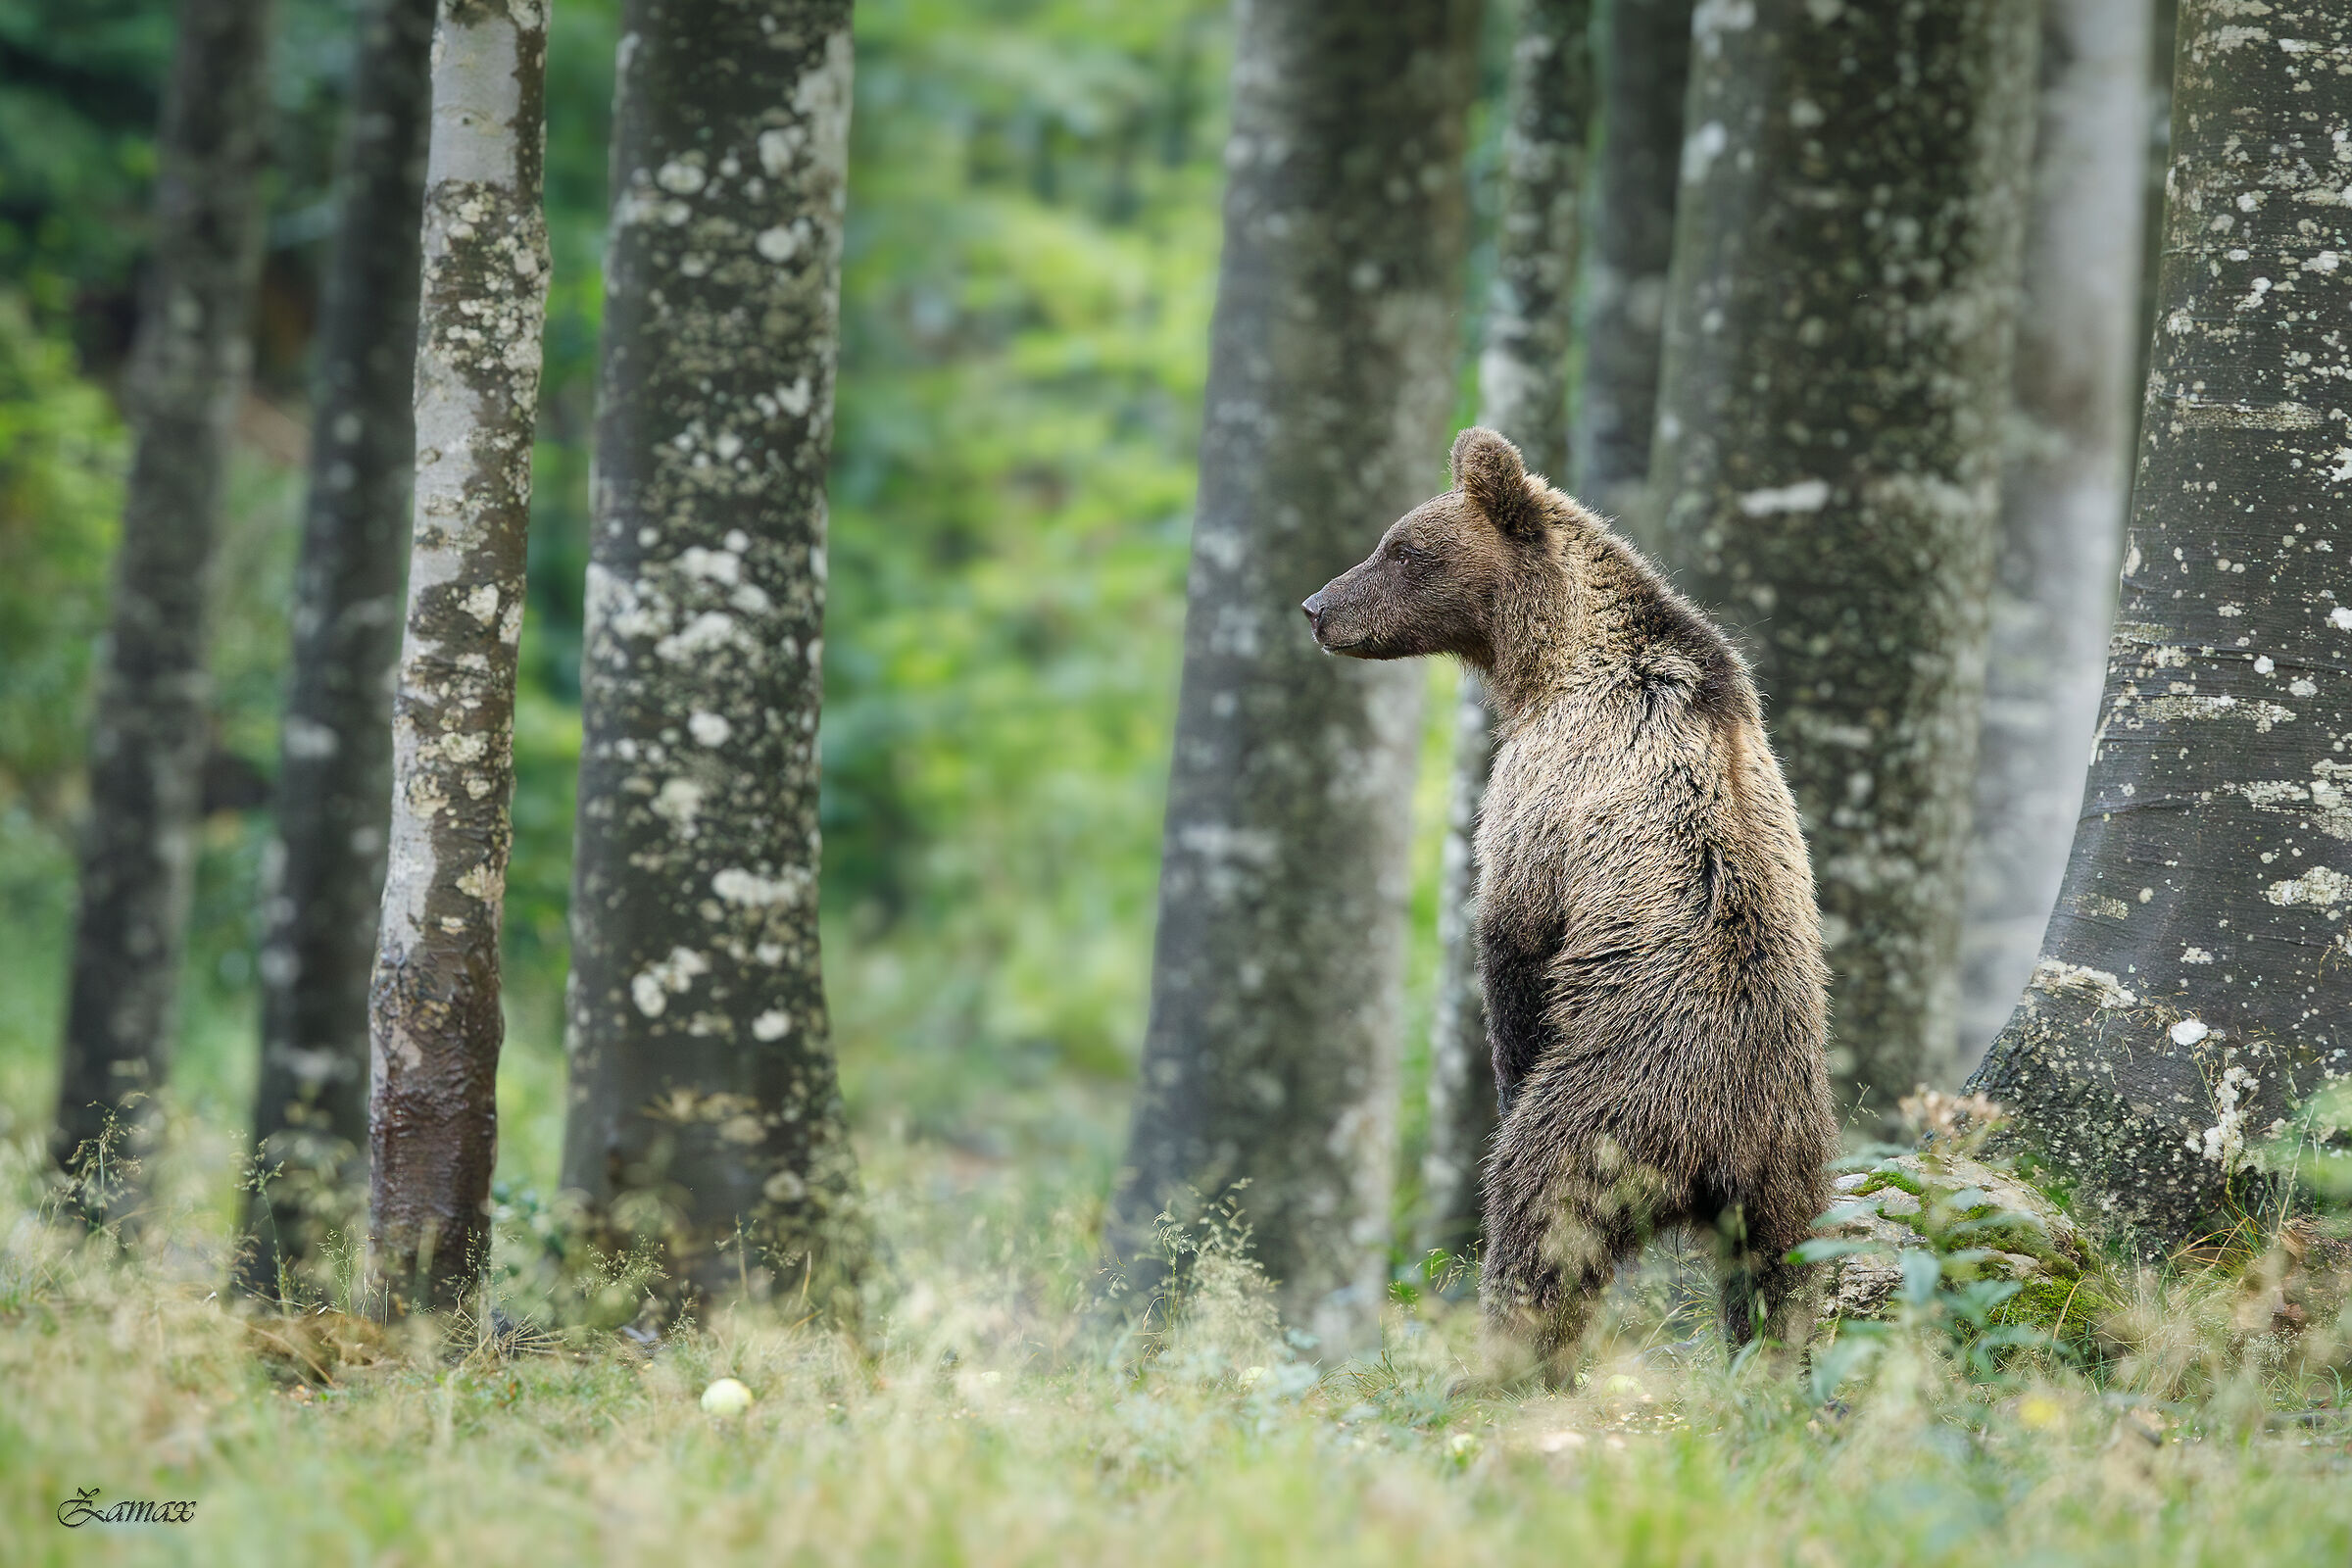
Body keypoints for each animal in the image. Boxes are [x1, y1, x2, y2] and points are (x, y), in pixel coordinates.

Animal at [1302, 425, 1837, 1379]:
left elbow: (1511, 938)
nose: (1316, 607)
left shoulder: (1547, 785)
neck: (1549, 658)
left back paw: (1502, 1364)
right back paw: (1774, 1366)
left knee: (1537, 1219)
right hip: (1796, 1158)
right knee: (1783, 1275)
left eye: (1401, 548)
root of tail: (1727, 1147)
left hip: (1615, 1103)